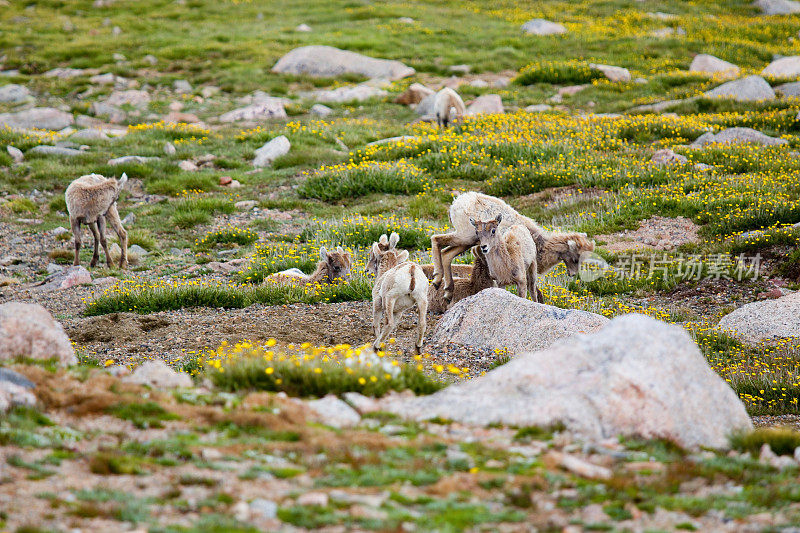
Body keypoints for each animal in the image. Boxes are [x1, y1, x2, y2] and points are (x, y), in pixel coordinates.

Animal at [432, 190, 592, 300]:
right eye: (576, 258)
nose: (572, 274)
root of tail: (457, 202)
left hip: (467, 241)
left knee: (446, 254)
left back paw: (447, 292)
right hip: (465, 236)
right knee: (436, 239)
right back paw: (436, 280)